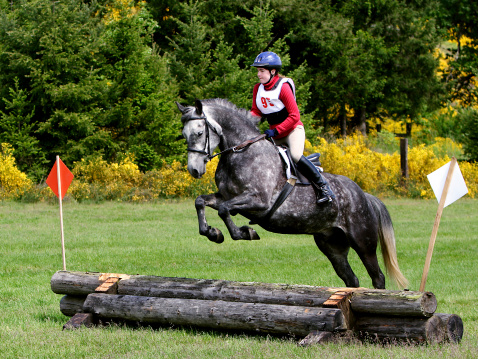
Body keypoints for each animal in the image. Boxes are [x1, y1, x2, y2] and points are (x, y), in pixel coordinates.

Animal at [176, 98, 408, 290]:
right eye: (184, 135)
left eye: (199, 133)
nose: (194, 170)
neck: (241, 152)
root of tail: (363, 195)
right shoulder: (226, 196)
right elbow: (201, 202)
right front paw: (213, 233)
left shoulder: (259, 202)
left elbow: (224, 210)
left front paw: (245, 233)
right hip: (332, 244)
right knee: (351, 279)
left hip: (362, 241)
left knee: (377, 276)